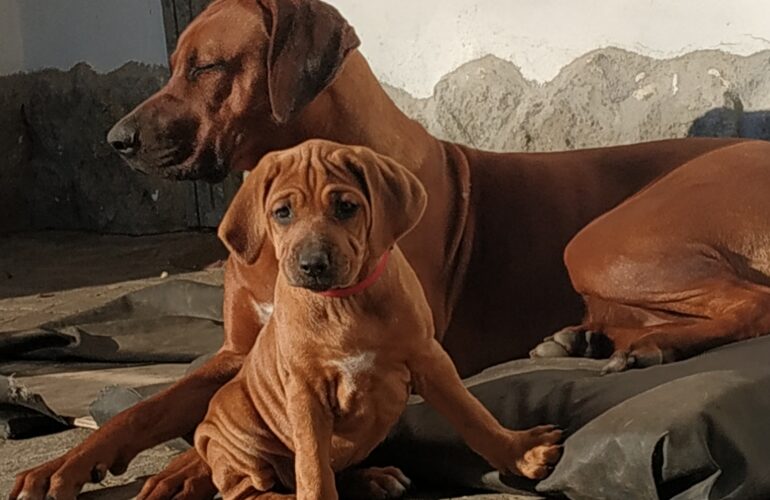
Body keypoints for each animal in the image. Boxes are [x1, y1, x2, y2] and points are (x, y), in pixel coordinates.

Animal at [195, 140, 560, 500]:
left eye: (346, 207)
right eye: (282, 212)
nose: (313, 265)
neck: (344, 301)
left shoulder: (429, 358)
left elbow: (472, 414)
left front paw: (520, 451)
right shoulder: (305, 390)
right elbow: (313, 466)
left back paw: (373, 479)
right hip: (236, 434)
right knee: (252, 490)